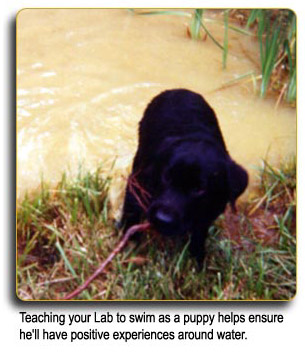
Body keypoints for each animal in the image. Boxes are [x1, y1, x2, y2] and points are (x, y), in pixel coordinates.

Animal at [120, 90, 246, 264]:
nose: (162, 219)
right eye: (166, 176)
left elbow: (199, 234)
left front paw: (198, 260)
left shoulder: (210, 211)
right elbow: (131, 211)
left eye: (199, 189)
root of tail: (181, 90)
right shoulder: (137, 181)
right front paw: (130, 242)